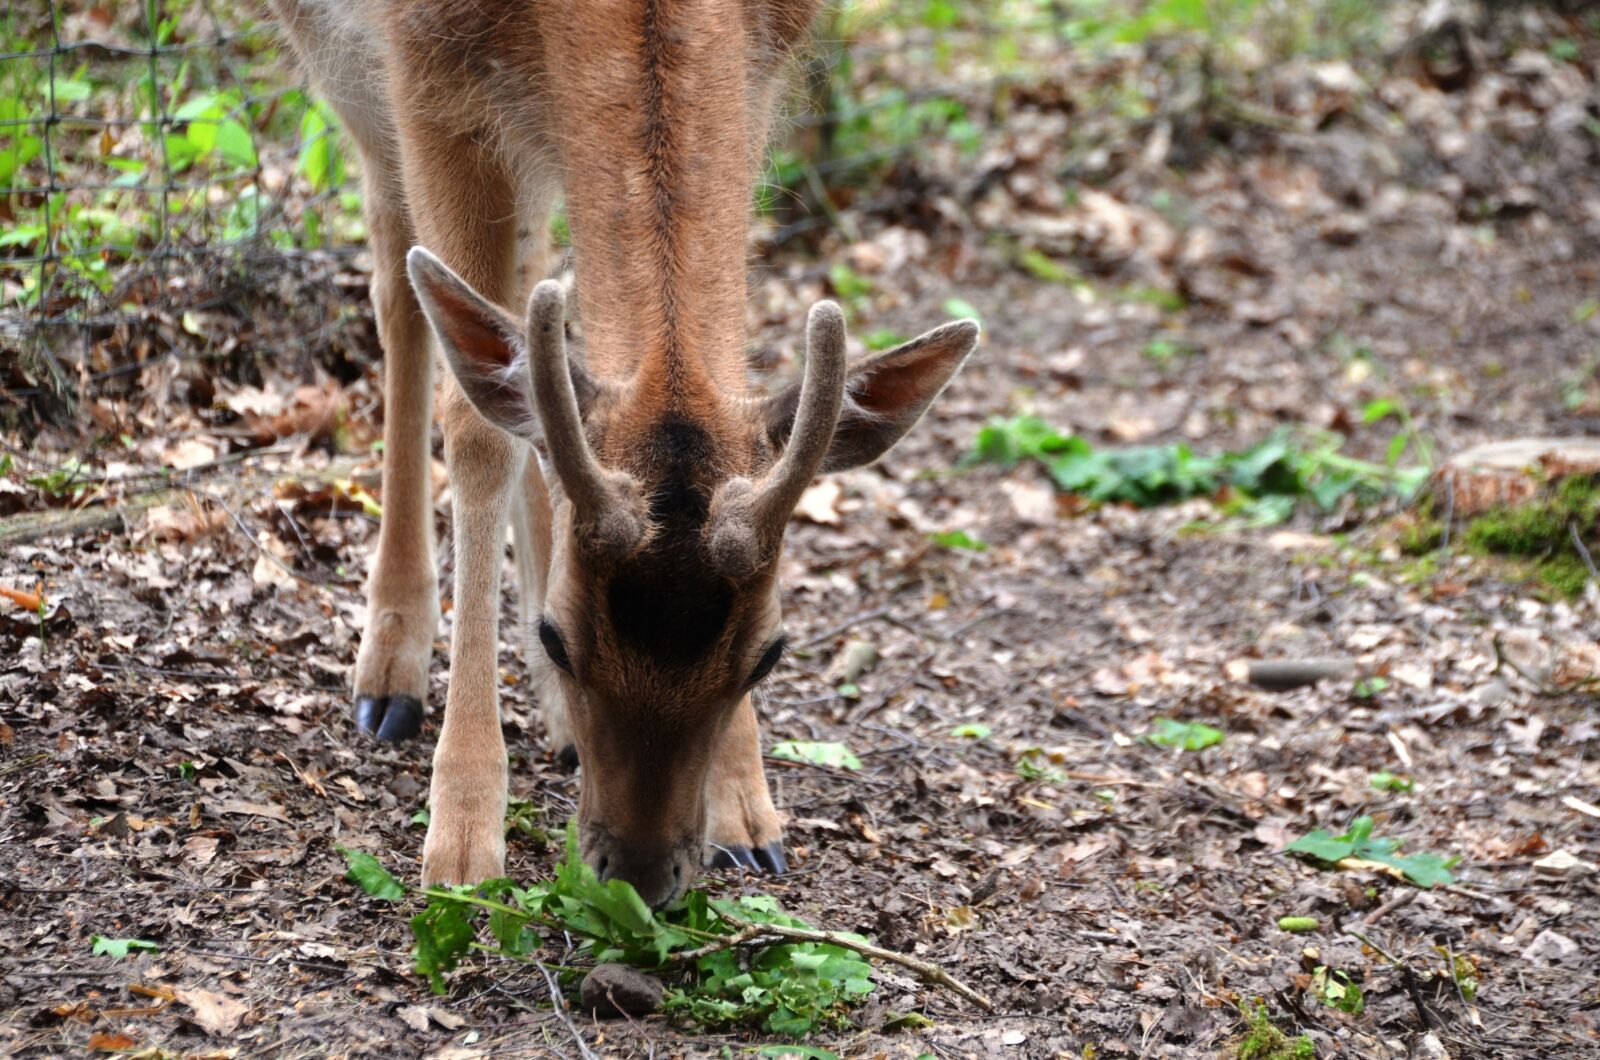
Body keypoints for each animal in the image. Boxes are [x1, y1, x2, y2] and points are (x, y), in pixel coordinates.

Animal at [270, 0, 979, 909]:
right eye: (556, 637)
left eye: (769, 654)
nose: (640, 875)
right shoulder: (424, 74)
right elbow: (476, 429)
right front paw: (462, 837)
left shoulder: (765, 62)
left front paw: (747, 812)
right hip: (337, 59)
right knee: (399, 283)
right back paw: (389, 671)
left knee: (527, 304)